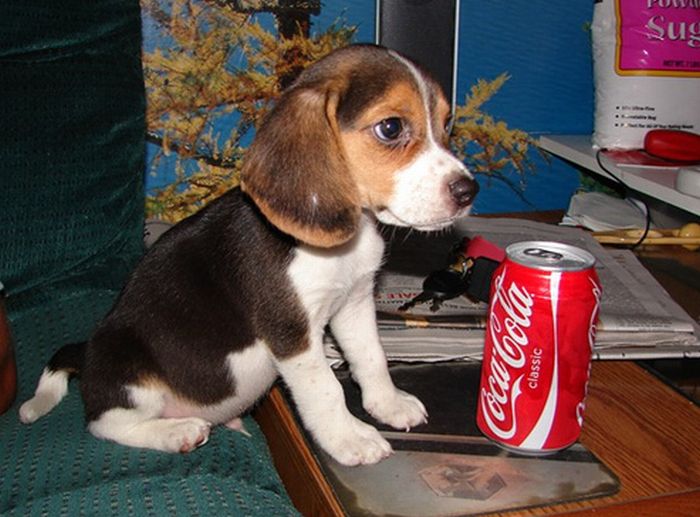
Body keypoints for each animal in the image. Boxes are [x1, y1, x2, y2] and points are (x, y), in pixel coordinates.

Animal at [19, 43, 478, 464]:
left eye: (446, 123)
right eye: (391, 127)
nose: (468, 191)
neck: (347, 241)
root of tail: (88, 354)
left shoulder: (355, 303)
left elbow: (372, 357)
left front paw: (389, 404)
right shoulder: (291, 332)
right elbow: (327, 390)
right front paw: (350, 439)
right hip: (129, 371)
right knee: (105, 424)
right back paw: (177, 432)